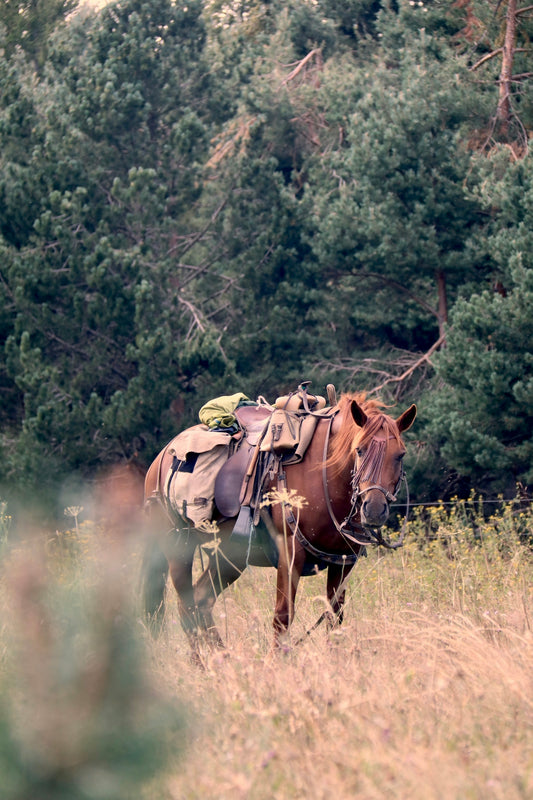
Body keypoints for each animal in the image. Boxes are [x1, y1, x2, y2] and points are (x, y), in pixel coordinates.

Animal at [141, 392, 416, 657]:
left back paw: (223, 658)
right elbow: (283, 616)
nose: (374, 509)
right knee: (186, 607)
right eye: (359, 449)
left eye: (400, 455)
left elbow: (334, 617)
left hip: (231, 556)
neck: (324, 474)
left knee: (201, 600)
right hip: (179, 549)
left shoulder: (343, 560)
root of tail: (160, 458)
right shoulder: (290, 551)